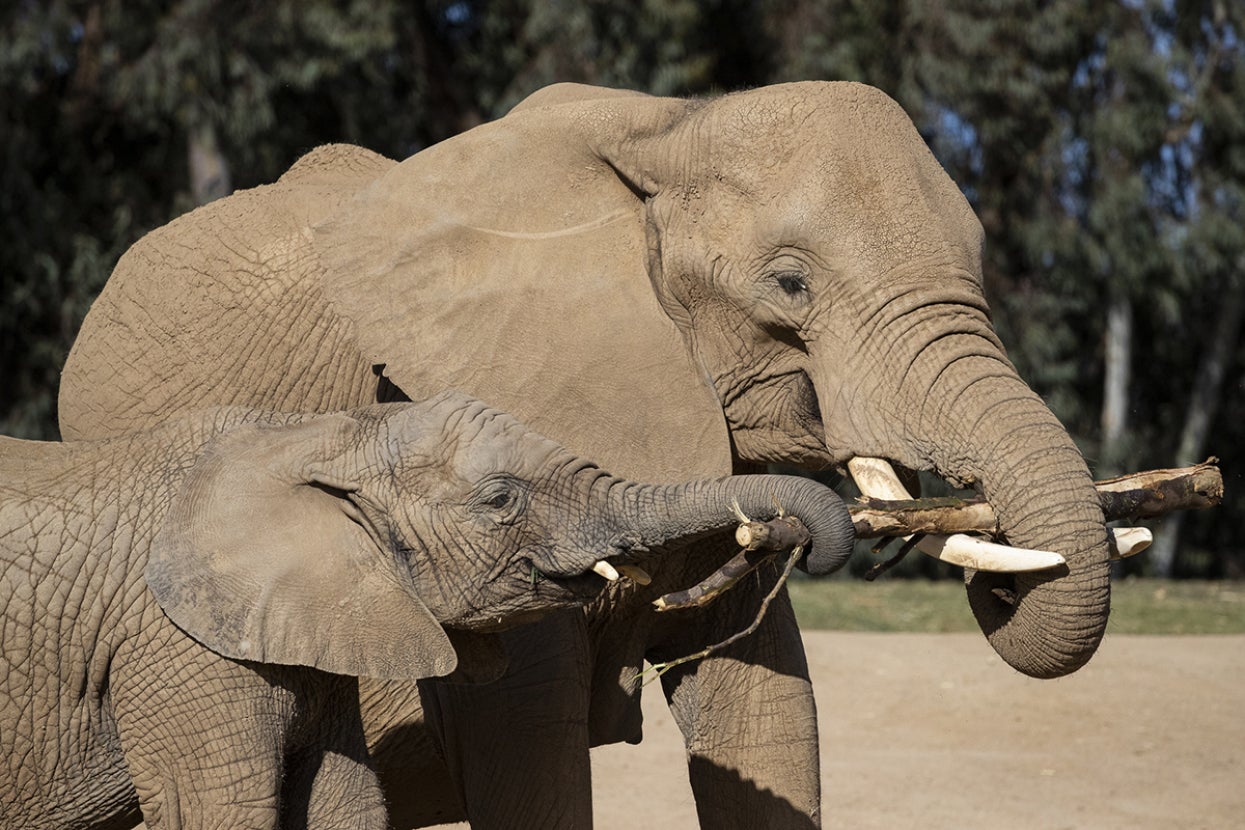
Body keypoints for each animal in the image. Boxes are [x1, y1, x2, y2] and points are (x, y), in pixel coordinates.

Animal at [1, 390, 857, 830]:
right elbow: (222, 811)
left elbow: (346, 803)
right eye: (501, 500)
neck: (311, 436)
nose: (791, 540)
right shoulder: (174, 648)